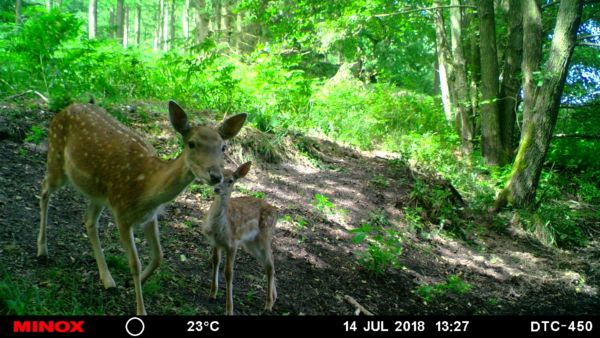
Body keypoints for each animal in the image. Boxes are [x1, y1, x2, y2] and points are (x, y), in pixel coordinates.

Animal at [37, 99, 246, 314]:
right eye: (192, 143)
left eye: (223, 147)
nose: (215, 176)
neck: (146, 188)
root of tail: (67, 108)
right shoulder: (121, 214)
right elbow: (134, 264)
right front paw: (140, 309)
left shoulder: (150, 217)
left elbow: (158, 256)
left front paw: (131, 284)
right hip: (56, 159)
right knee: (44, 189)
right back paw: (42, 251)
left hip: (98, 195)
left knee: (88, 220)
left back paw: (107, 279)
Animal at [202, 162, 276, 316]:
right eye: (218, 177)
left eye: (231, 181)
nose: (217, 189)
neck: (220, 227)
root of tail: (276, 211)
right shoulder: (215, 242)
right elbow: (215, 262)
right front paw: (212, 294)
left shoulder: (232, 244)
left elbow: (229, 273)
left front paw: (229, 309)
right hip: (251, 244)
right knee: (267, 263)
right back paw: (273, 298)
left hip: (266, 235)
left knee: (270, 266)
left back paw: (268, 305)